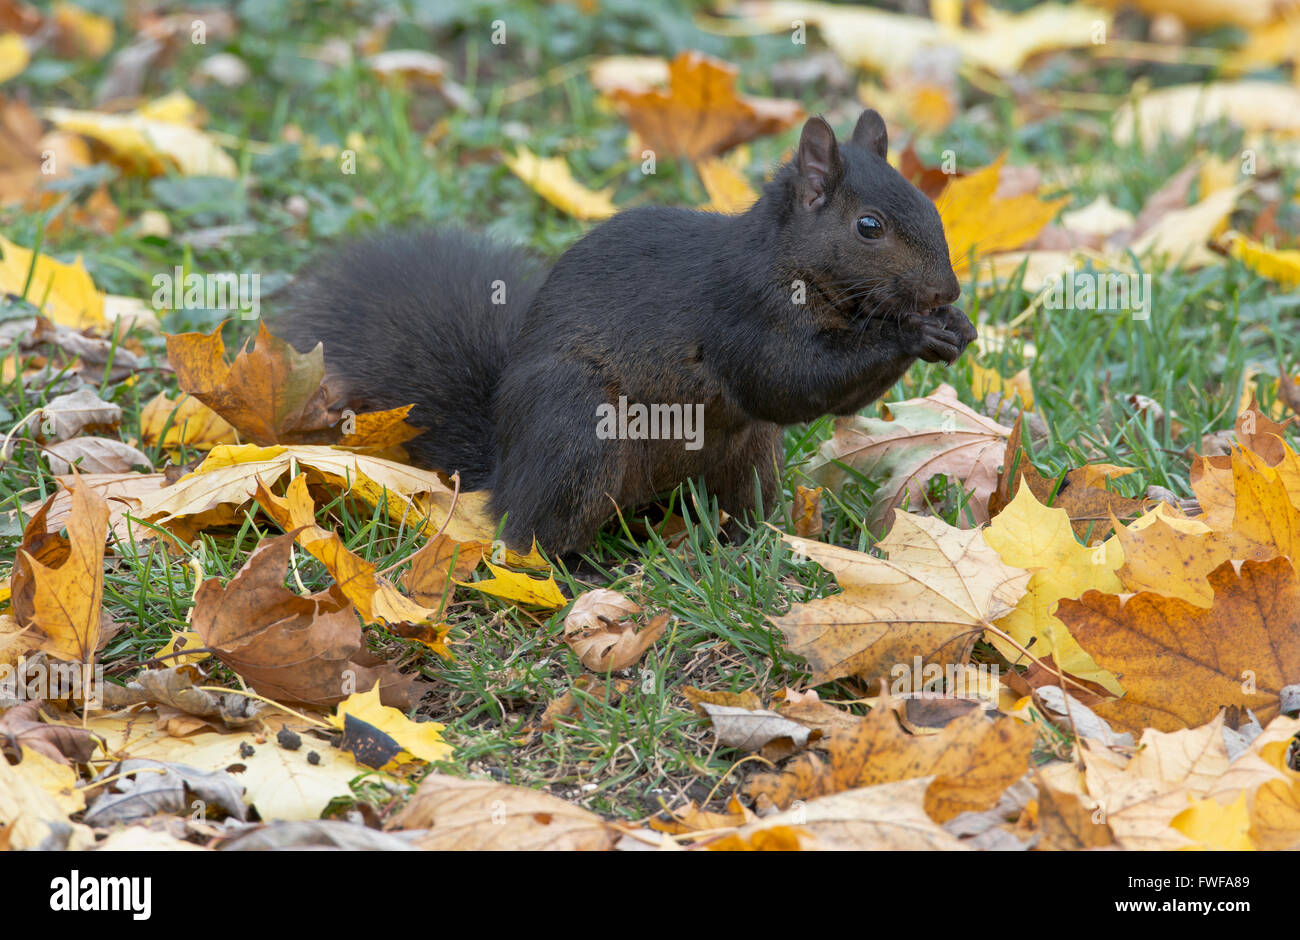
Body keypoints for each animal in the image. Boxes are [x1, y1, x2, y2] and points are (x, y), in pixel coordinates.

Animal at [276, 110, 977, 556]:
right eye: (868, 226)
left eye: (930, 202)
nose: (947, 292)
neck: (789, 264)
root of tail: (504, 471)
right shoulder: (743, 314)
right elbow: (790, 381)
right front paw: (914, 336)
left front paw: (955, 328)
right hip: (577, 431)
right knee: (532, 534)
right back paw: (578, 568)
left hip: (750, 457)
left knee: (730, 507)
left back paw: (748, 547)